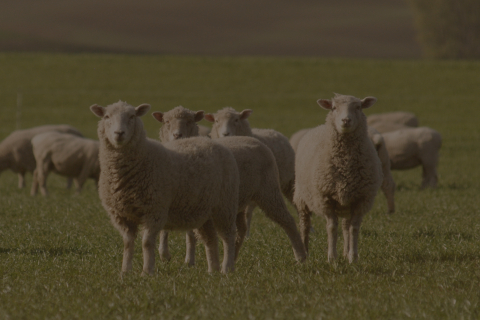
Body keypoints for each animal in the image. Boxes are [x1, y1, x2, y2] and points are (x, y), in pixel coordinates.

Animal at [89, 100, 239, 276]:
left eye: (132, 116)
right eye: (106, 116)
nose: (119, 133)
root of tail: (212, 142)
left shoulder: (154, 210)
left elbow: (147, 242)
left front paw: (147, 272)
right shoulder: (121, 215)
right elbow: (127, 243)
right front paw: (125, 271)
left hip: (225, 205)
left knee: (228, 236)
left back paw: (226, 268)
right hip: (204, 210)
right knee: (210, 239)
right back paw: (212, 271)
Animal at [292, 93, 382, 262]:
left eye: (358, 107)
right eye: (334, 108)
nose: (346, 120)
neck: (345, 167)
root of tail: (318, 127)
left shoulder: (361, 199)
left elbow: (353, 228)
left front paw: (353, 257)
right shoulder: (325, 198)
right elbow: (332, 227)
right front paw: (332, 258)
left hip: (347, 203)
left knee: (346, 226)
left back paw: (346, 253)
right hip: (301, 197)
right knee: (304, 224)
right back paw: (304, 253)